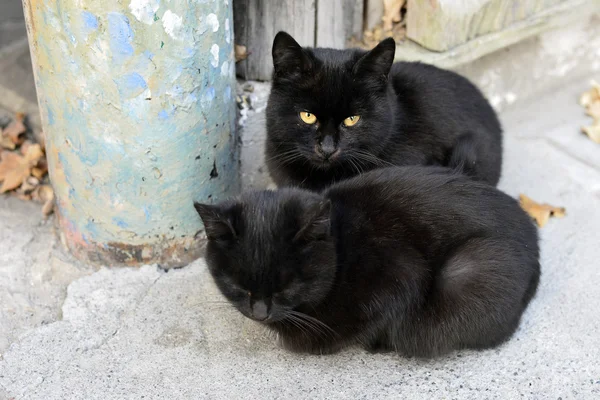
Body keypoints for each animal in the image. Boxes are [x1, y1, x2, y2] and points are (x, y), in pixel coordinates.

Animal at [193, 166, 540, 356]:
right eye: (237, 286)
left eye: (287, 287)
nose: (260, 313)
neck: (343, 250)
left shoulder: (400, 272)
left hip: (465, 271)